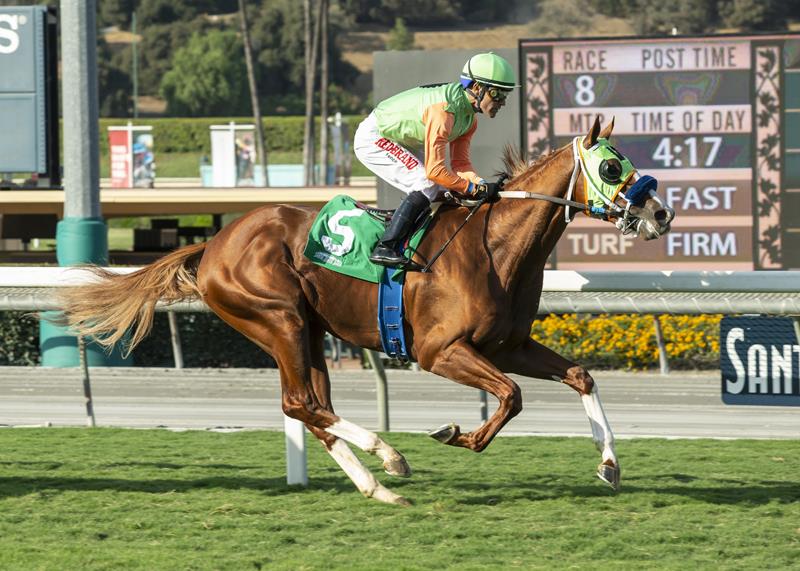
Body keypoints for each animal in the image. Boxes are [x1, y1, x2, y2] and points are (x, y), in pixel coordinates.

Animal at [57, 116, 676, 504]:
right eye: (612, 167)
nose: (662, 213)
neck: (495, 248)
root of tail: (213, 244)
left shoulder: (509, 345)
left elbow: (579, 376)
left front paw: (609, 465)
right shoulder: (439, 351)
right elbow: (512, 397)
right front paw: (457, 434)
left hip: (307, 331)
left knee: (311, 407)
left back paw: (380, 484)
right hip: (279, 318)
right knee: (300, 403)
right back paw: (389, 455)